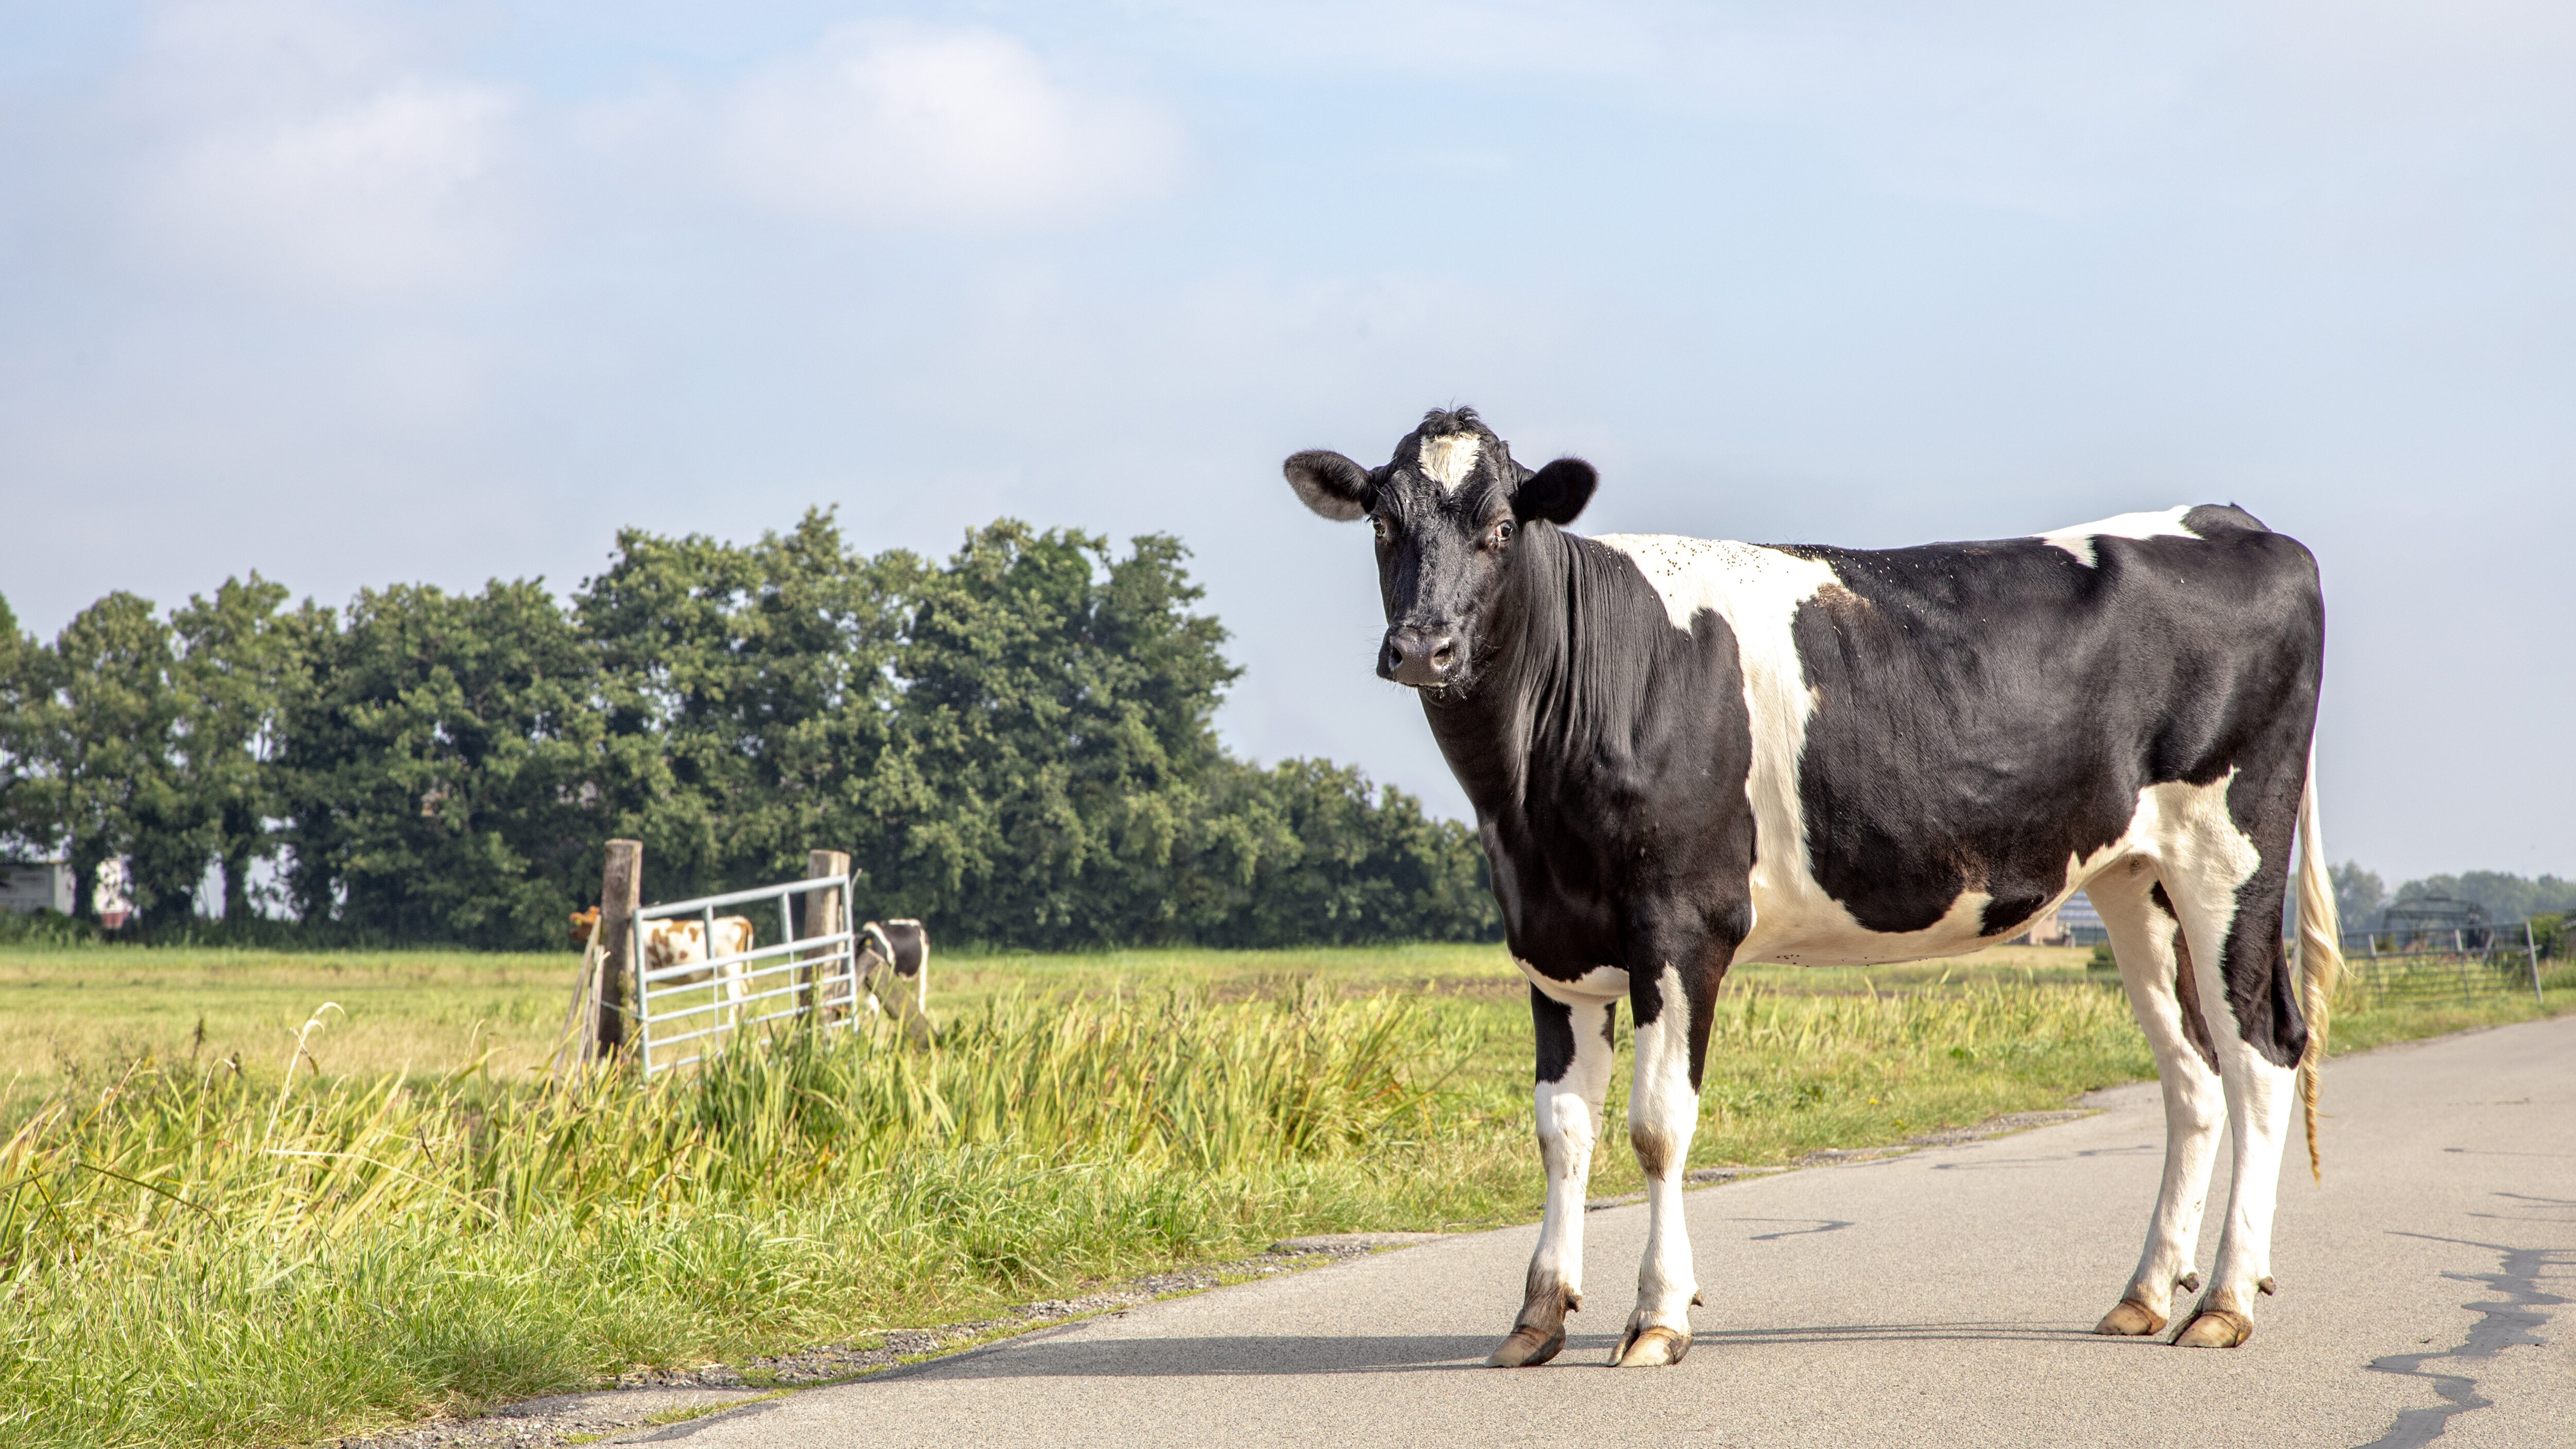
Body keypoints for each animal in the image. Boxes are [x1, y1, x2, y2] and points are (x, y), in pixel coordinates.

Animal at [1283, 406, 2343, 1367]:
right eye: (1383, 523)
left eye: (1502, 527)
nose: (1424, 648)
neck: (1526, 793)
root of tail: (2235, 522)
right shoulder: (1550, 942)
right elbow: (1561, 1132)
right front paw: (1538, 1316)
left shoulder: (1683, 926)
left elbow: (1657, 1129)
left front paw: (1658, 1316)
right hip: (2134, 879)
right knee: (2192, 1072)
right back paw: (2145, 1294)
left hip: (2230, 853)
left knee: (2260, 1050)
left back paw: (2225, 1301)